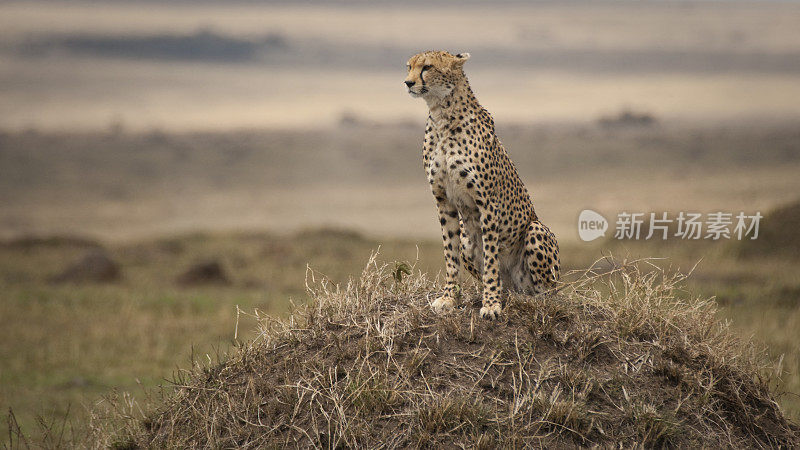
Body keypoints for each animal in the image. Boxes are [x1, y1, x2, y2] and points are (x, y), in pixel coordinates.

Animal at [404, 50, 560, 320]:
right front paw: (449, 298)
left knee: (549, 292)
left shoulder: (487, 202)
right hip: (468, 239)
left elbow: (490, 259)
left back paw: (532, 299)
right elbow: (450, 252)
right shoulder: (443, 200)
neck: (442, 114)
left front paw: (491, 303)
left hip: (535, 231)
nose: (408, 83)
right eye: (409, 67)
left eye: (427, 67)